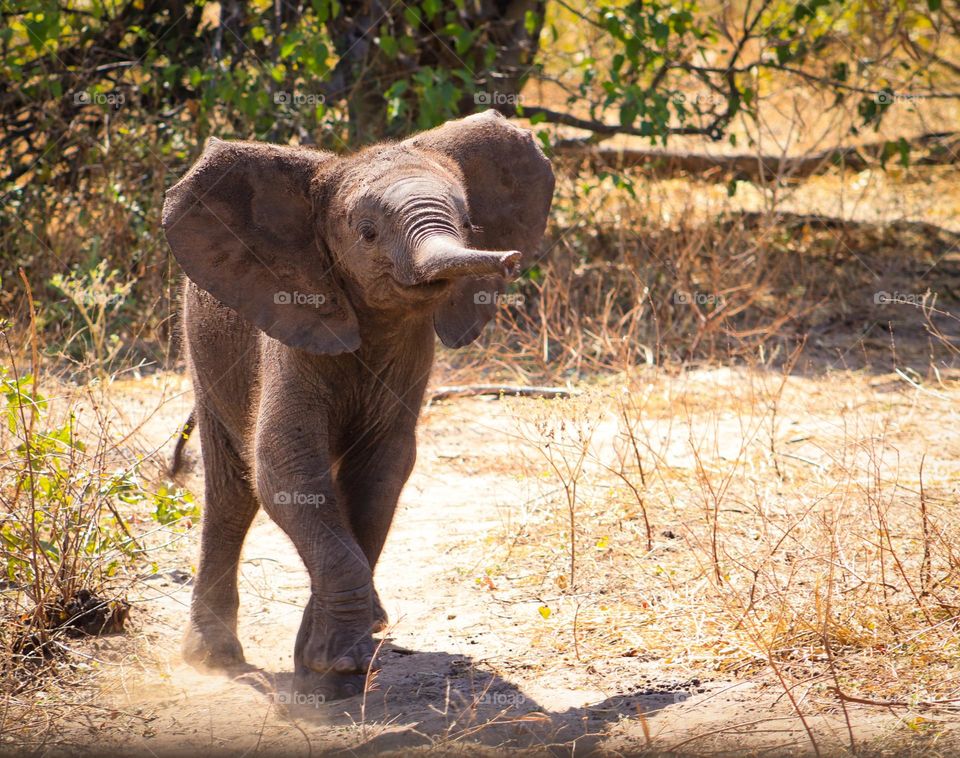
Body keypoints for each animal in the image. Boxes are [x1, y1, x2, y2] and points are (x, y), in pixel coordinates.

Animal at [163, 111, 556, 700]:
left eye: (470, 223)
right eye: (367, 233)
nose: (508, 262)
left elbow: (381, 471)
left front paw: (329, 664)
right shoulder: (294, 321)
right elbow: (284, 466)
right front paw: (335, 666)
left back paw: (373, 621)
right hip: (205, 349)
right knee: (232, 490)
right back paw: (213, 659)